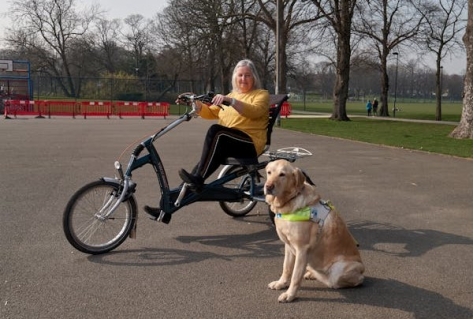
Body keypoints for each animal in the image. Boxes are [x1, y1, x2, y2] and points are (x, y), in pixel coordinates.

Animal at [262, 161, 362, 304]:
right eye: (269, 172)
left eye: (282, 174)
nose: (268, 186)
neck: (289, 202)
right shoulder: (288, 247)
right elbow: (286, 268)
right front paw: (281, 283)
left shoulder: (302, 250)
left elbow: (295, 276)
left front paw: (290, 295)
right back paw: (312, 274)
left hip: (340, 269)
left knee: (336, 281)